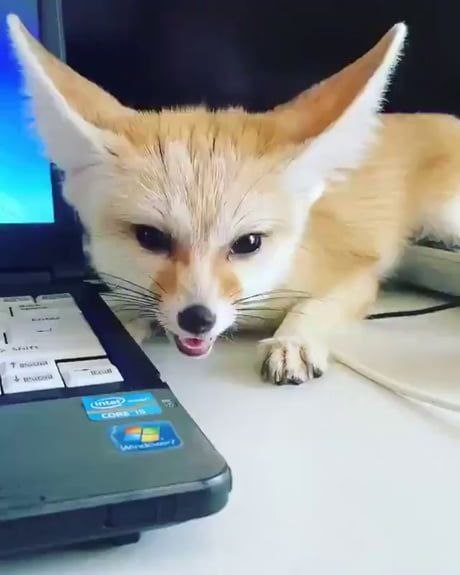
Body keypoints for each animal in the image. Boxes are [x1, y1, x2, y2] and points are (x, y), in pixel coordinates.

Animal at [7, 15, 460, 385]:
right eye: (151, 238)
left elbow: (316, 305)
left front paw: (293, 339)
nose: (198, 319)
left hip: (444, 215)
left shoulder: (356, 270)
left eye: (248, 243)